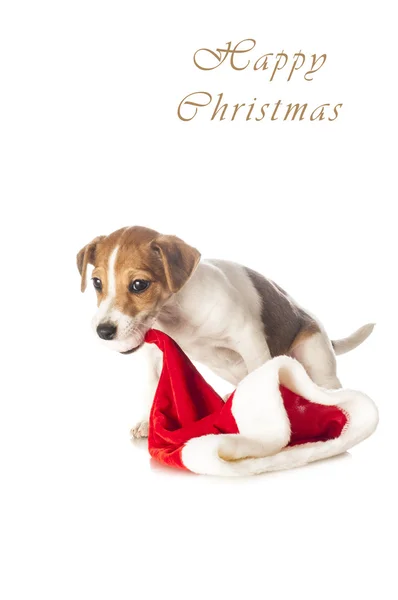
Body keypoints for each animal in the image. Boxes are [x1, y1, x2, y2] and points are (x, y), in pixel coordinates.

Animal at [77, 225, 374, 436]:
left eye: (139, 285)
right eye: (97, 283)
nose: (103, 331)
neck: (176, 313)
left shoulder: (249, 338)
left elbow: (260, 378)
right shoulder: (155, 354)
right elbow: (151, 386)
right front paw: (146, 423)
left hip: (313, 354)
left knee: (326, 386)